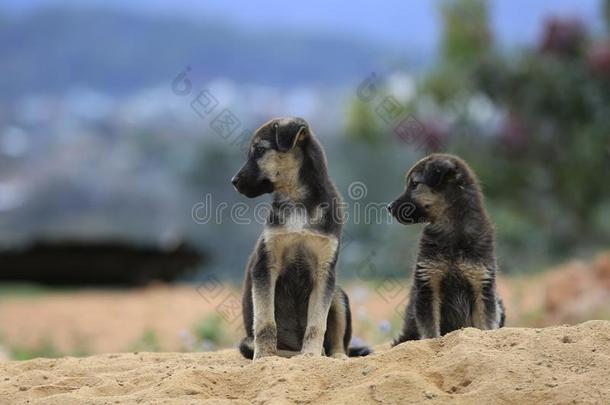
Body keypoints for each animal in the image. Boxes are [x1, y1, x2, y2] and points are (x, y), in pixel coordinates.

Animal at [230, 115, 368, 358]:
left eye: (259, 150)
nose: (233, 182)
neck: (296, 200)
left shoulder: (324, 271)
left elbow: (317, 324)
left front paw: (310, 356)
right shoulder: (265, 266)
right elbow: (265, 322)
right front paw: (264, 357)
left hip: (338, 295)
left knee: (337, 342)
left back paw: (334, 356)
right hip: (247, 341)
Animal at [388, 153, 506, 342]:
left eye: (414, 184)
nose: (389, 207)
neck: (453, 228)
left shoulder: (481, 284)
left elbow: (485, 325)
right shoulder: (428, 285)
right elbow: (430, 329)